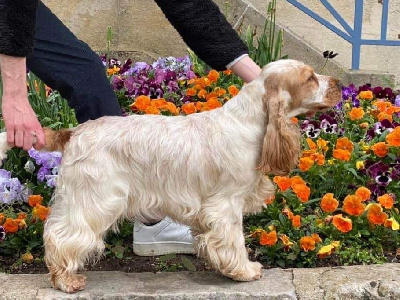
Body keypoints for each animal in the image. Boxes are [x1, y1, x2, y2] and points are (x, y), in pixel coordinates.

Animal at [0, 59, 342, 292]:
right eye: (310, 78)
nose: (339, 83)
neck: (250, 122)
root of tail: (75, 132)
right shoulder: (226, 204)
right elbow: (233, 242)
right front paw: (245, 271)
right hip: (95, 198)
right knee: (63, 235)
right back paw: (66, 279)